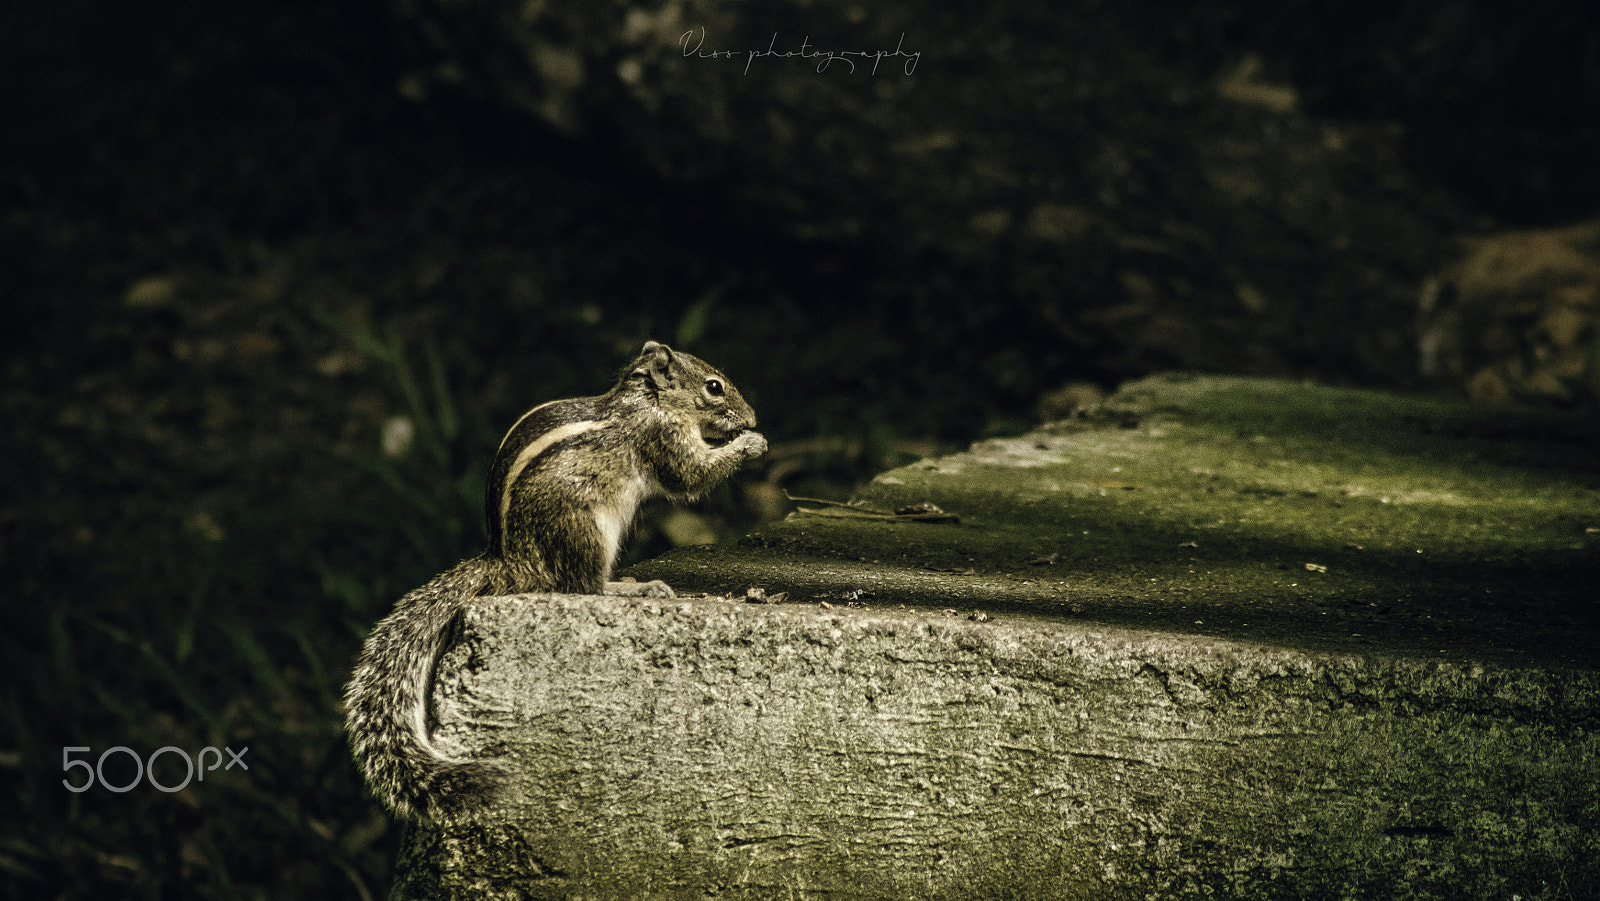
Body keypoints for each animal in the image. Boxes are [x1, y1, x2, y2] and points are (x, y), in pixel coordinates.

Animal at [343, 341, 767, 821]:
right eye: (714, 387)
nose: (752, 417)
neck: (647, 401)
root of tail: (510, 563)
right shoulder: (663, 439)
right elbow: (690, 474)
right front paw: (750, 444)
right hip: (585, 528)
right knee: (585, 586)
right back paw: (633, 587)